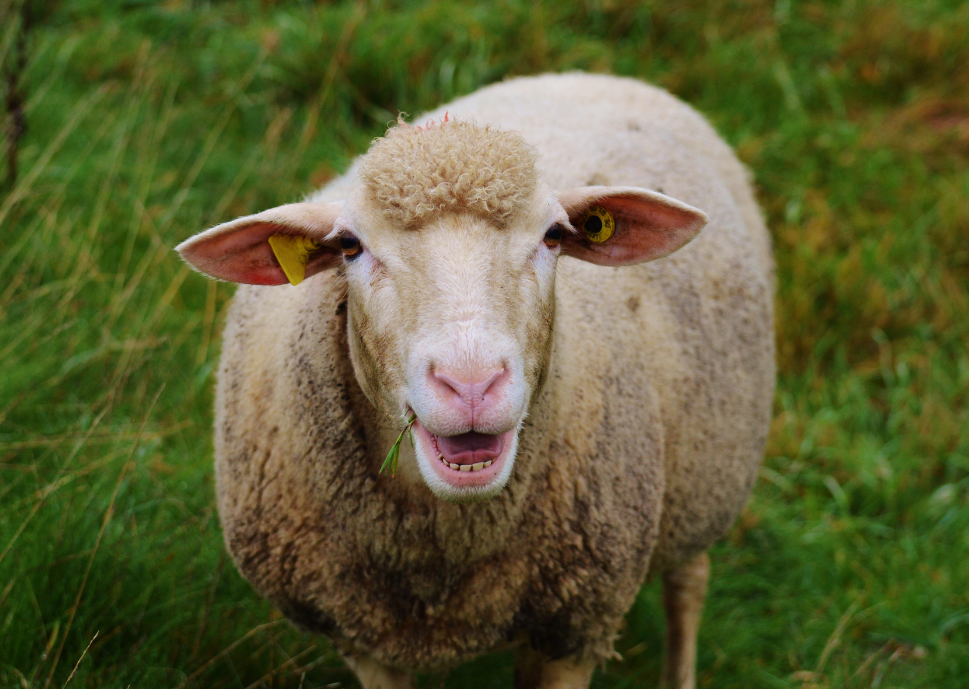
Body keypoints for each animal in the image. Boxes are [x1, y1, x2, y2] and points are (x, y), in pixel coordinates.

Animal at [176, 72, 775, 689]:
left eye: (554, 236)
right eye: (350, 245)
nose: (470, 387)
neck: (439, 554)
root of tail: (601, 77)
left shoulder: (574, 628)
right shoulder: (365, 638)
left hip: (704, 479)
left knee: (688, 584)